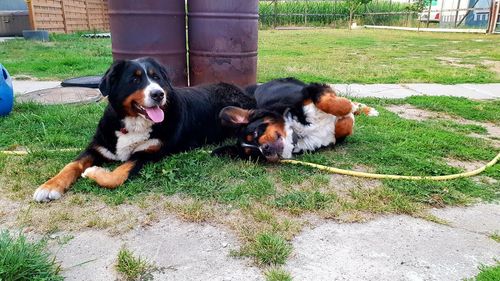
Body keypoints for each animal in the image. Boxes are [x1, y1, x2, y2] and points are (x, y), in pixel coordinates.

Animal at [34, 57, 254, 201]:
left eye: (157, 78)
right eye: (134, 79)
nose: (158, 94)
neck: (133, 124)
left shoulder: (149, 153)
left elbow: (116, 176)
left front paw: (93, 172)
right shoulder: (97, 147)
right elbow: (71, 165)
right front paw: (49, 186)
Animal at [212, 77, 378, 162]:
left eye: (254, 133)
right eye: (253, 153)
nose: (265, 149)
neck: (298, 131)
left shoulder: (310, 90)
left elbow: (327, 102)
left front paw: (347, 108)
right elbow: (342, 127)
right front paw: (345, 118)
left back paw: (366, 109)